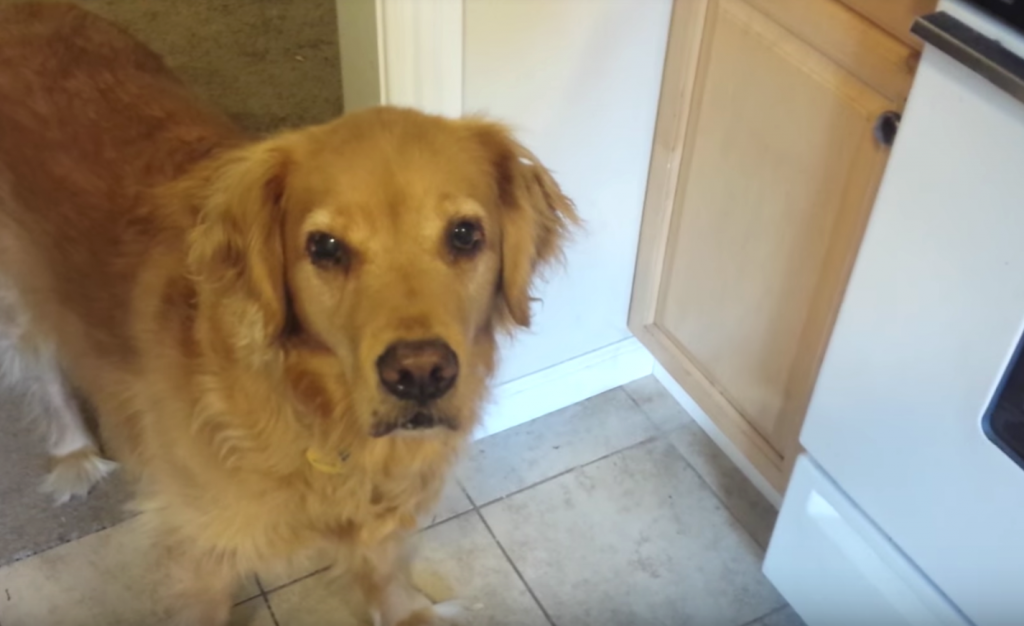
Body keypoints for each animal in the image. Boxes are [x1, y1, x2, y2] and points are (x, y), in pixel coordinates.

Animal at [0, 2, 577, 622]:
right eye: (325, 247)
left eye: (466, 235)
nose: (421, 373)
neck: (320, 415)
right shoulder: (197, 553)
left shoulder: (384, 525)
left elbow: (390, 582)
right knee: (40, 370)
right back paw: (74, 453)